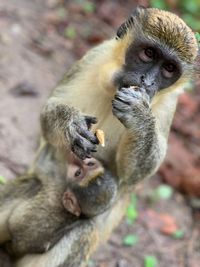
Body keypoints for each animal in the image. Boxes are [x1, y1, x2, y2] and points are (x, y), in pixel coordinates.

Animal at [5, 6, 200, 267]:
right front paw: (69, 123)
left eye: (169, 68)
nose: (147, 82)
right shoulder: (94, 56)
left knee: (83, 231)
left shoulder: (169, 104)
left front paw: (139, 115)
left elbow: (133, 176)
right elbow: (48, 115)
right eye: (148, 53)